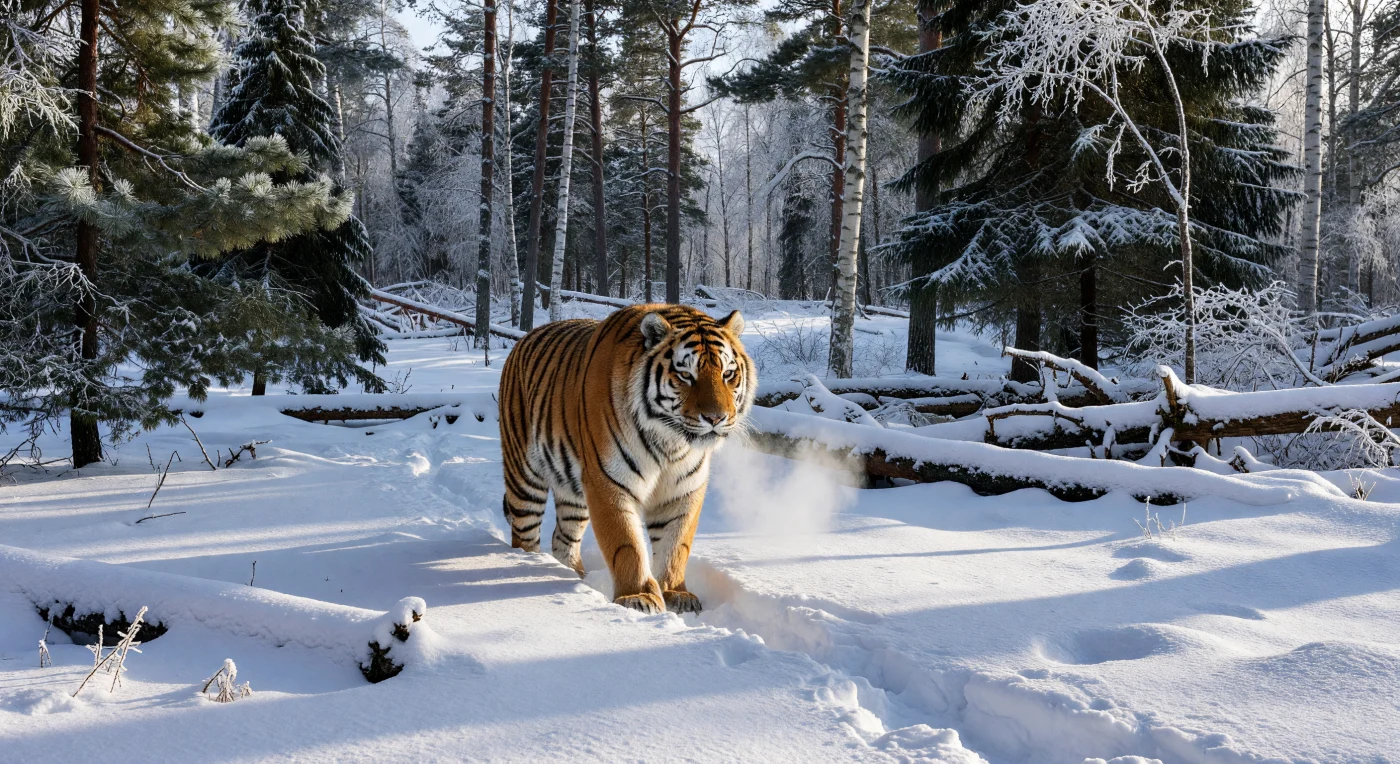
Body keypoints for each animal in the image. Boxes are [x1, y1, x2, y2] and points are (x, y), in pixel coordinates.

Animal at [498, 304, 756, 615]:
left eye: (728, 373)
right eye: (685, 375)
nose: (716, 418)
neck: (670, 442)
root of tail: (524, 338)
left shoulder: (683, 489)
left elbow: (675, 546)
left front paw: (676, 593)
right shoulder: (608, 482)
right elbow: (627, 544)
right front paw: (638, 597)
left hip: (573, 493)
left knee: (563, 538)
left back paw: (573, 577)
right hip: (524, 476)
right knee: (524, 534)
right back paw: (533, 566)